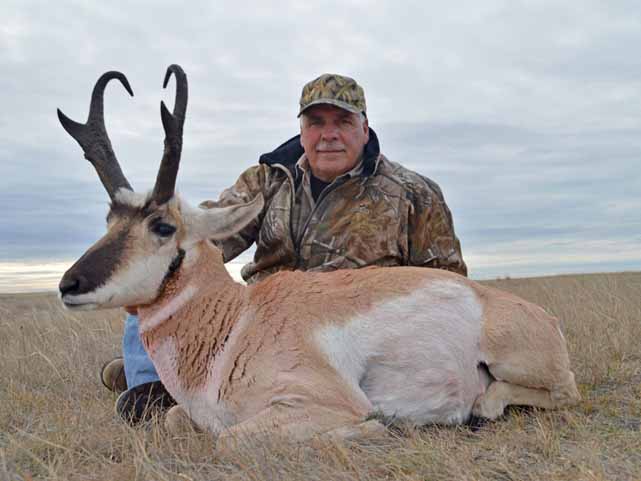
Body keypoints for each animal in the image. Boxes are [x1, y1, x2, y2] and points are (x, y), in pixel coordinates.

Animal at [58, 65, 580, 448]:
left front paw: (374, 426)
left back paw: (480, 407)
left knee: (562, 390)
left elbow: (229, 439)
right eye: (110, 220)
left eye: (163, 226)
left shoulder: (316, 403)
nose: (68, 285)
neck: (235, 323)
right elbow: (173, 421)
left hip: (517, 361)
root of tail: (541, 315)